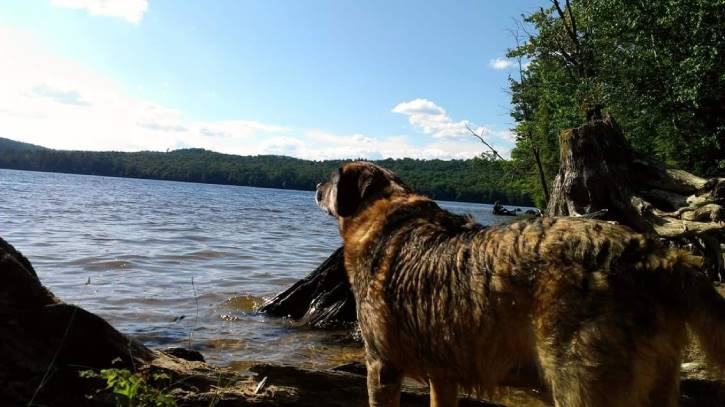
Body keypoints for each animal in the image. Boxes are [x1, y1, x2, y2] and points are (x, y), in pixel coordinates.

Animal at [314, 163, 724, 407]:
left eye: (330, 178)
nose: (316, 185)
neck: (385, 216)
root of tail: (654, 255)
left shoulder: (380, 366)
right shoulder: (443, 376)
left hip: (582, 384)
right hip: (658, 382)